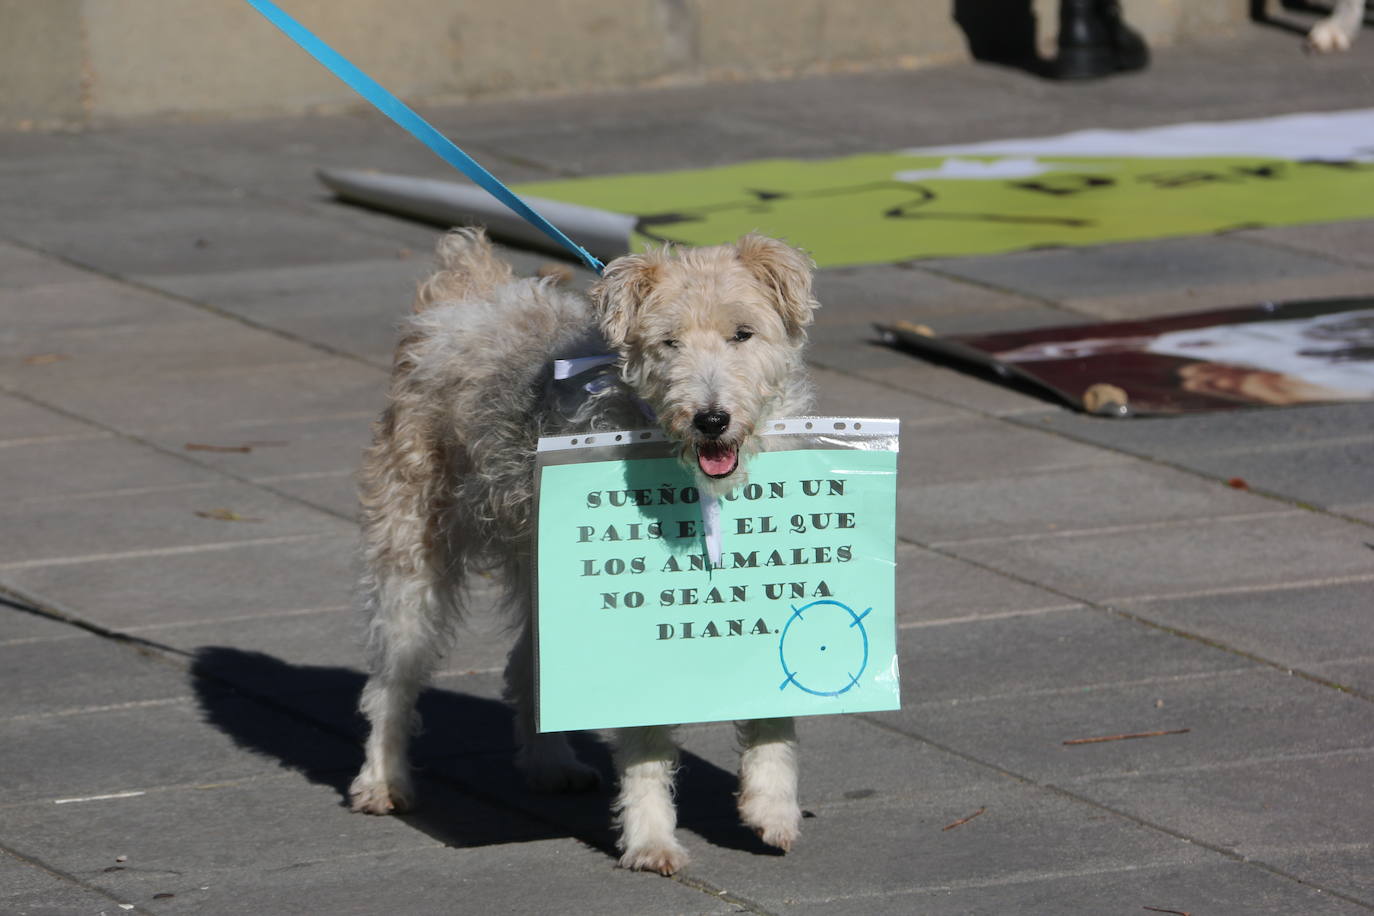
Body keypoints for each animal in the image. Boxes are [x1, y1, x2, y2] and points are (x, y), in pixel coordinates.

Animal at [351, 227, 813, 873]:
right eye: (668, 342)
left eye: (743, 334)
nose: (711, 419)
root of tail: (466, 294)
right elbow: (643, 740)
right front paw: (651, 840)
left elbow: (774, 708)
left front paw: (771, 808)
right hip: (413, 557)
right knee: (391, 681)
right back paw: (383, 780)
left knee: (527, 670)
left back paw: (552, 766)